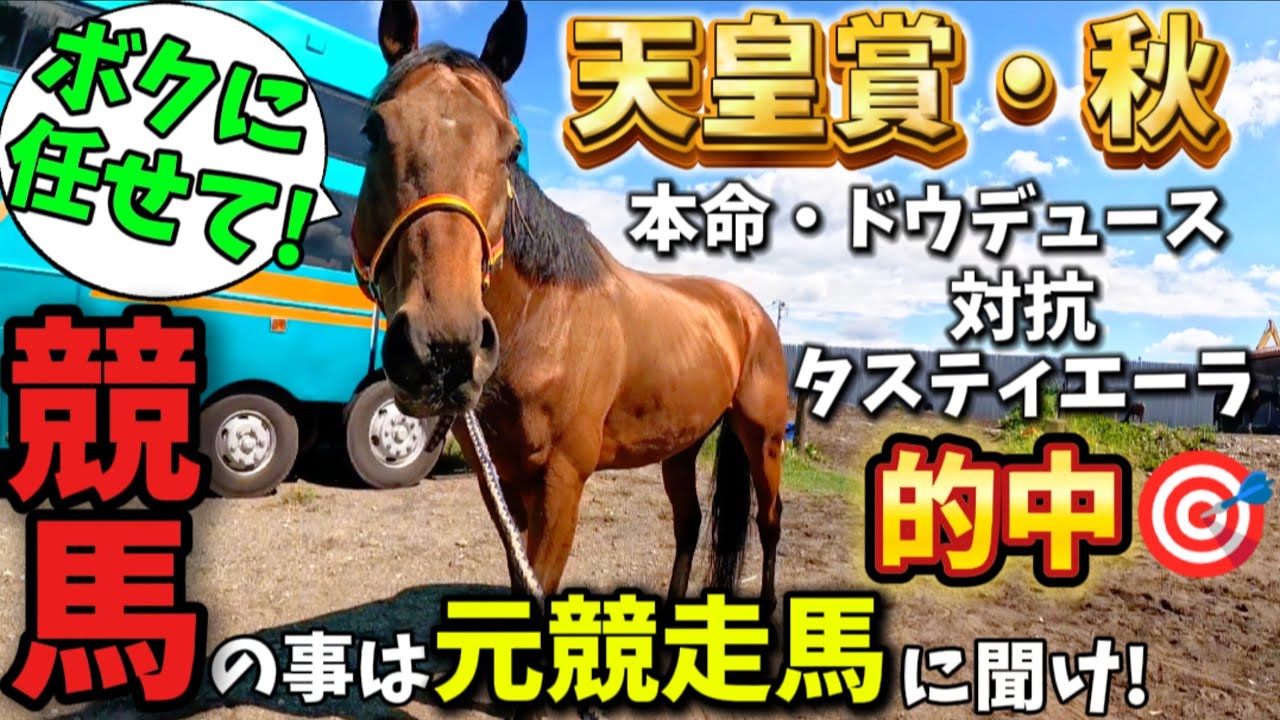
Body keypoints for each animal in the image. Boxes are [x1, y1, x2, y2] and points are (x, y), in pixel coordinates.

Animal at [351, 0, 790, 614]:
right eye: (373, 130)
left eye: (511, 149)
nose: (443, 349)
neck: (542, 323)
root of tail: (750, 311)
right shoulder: (501, 482)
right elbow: (521, 583)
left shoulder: (562, 482)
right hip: (681, 445)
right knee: (689, 522)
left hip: (763, 438)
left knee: (769, 522)